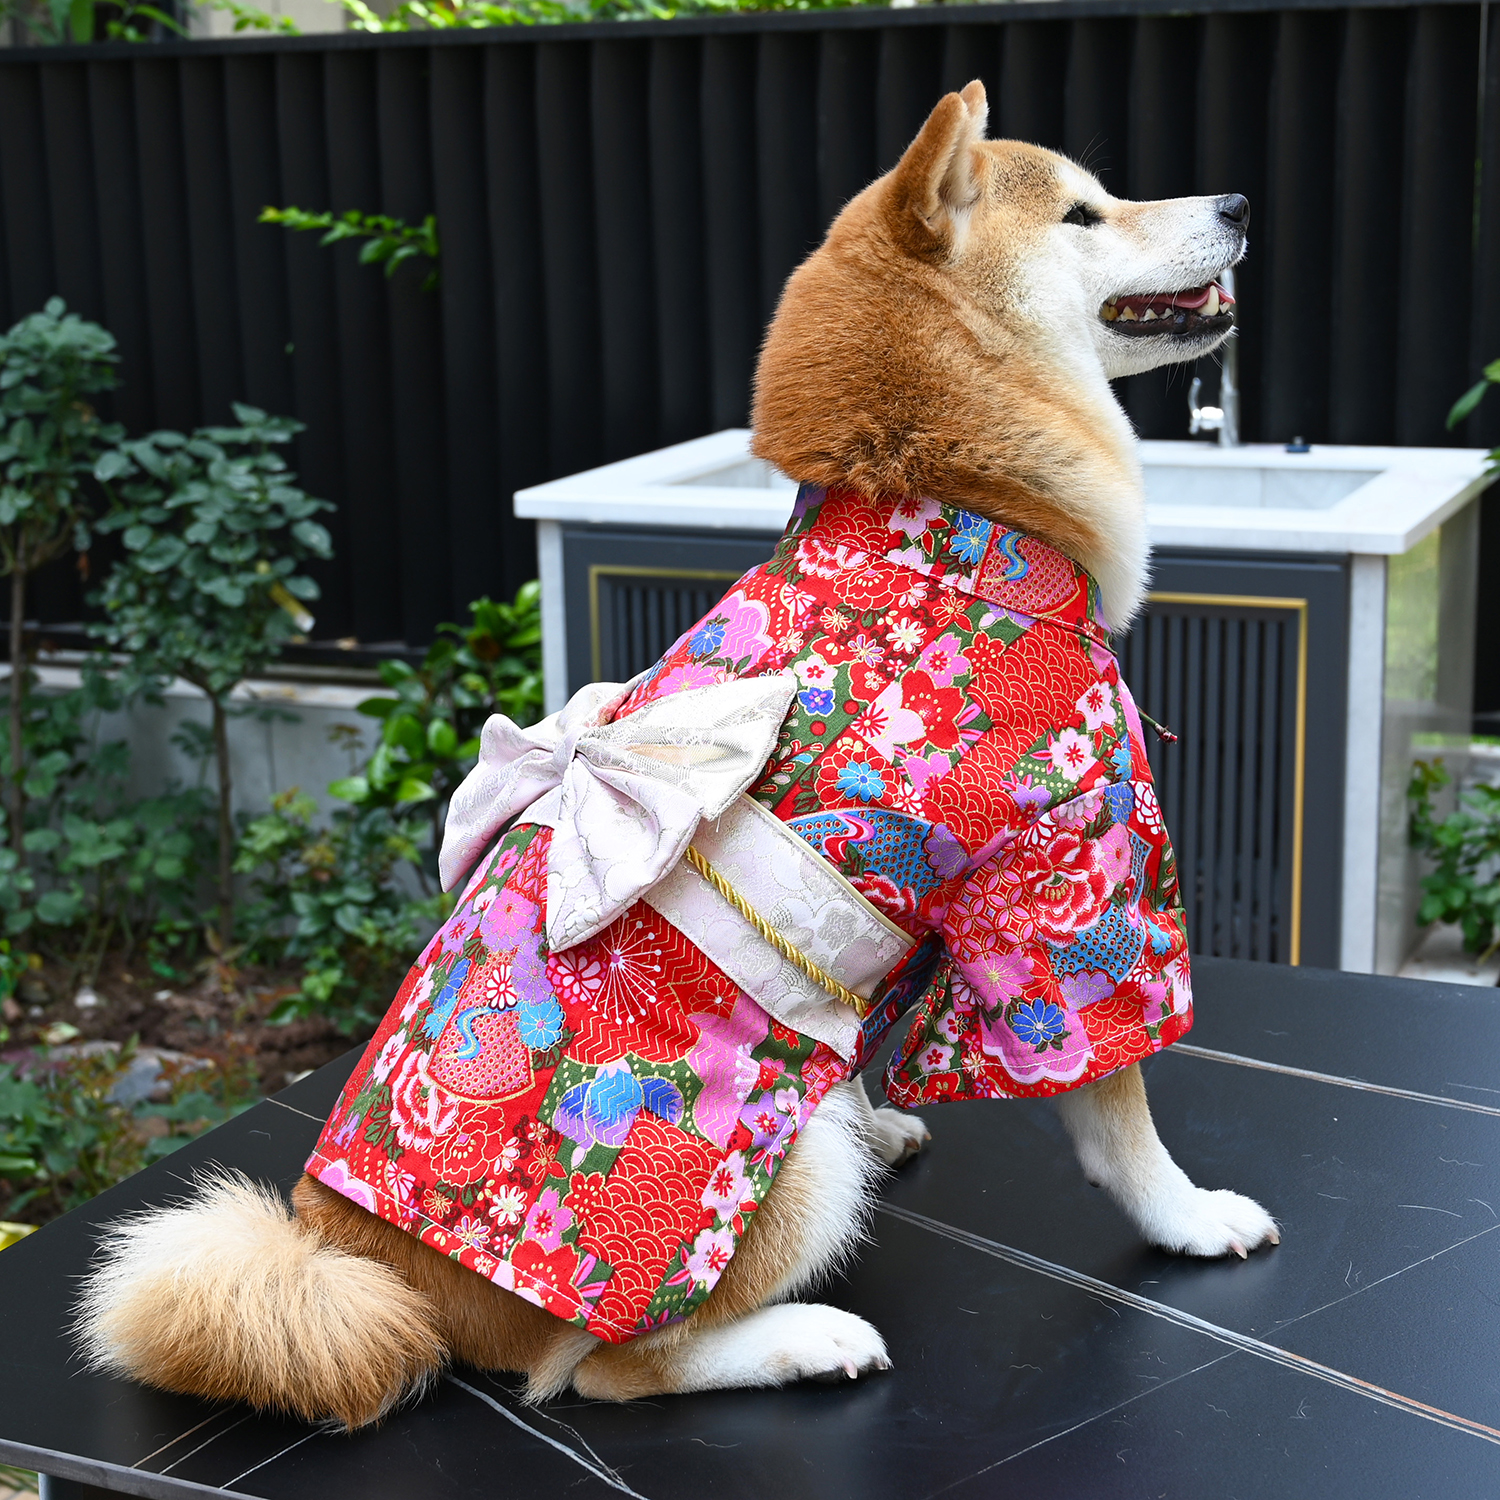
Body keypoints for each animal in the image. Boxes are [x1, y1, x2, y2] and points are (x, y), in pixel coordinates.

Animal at [79, 85, 1278, 1428]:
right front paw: (1190, 1219)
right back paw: (805, 1339)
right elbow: (1118, 1111)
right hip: (742, 1183)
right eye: (1084, 213)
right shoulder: (1067, 878)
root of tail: (381, 1275)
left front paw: (888, 1110)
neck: (947, 523)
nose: (1239, 201)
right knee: (608, 1371)